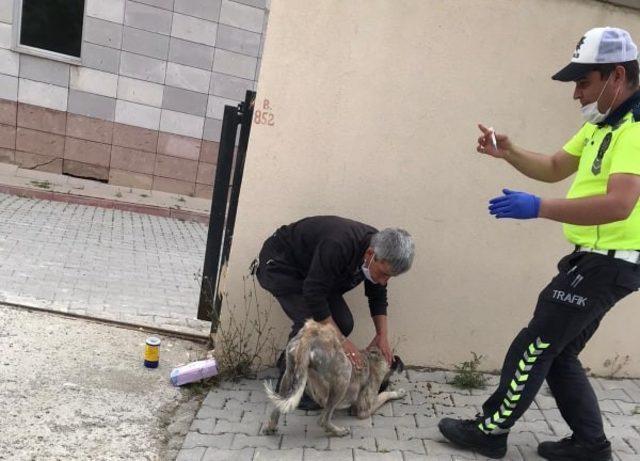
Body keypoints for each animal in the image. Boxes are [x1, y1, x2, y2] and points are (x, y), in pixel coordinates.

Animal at [264, 318, 404, 436]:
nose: (386, 384)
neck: (373, 358)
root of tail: (310, 335)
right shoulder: (364, 409)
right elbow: (384, 395)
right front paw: (397, 392)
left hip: (289, 374)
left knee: (277, 407)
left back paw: (271, 426)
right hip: (344, 374)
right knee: (323, 419)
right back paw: (338, 431)